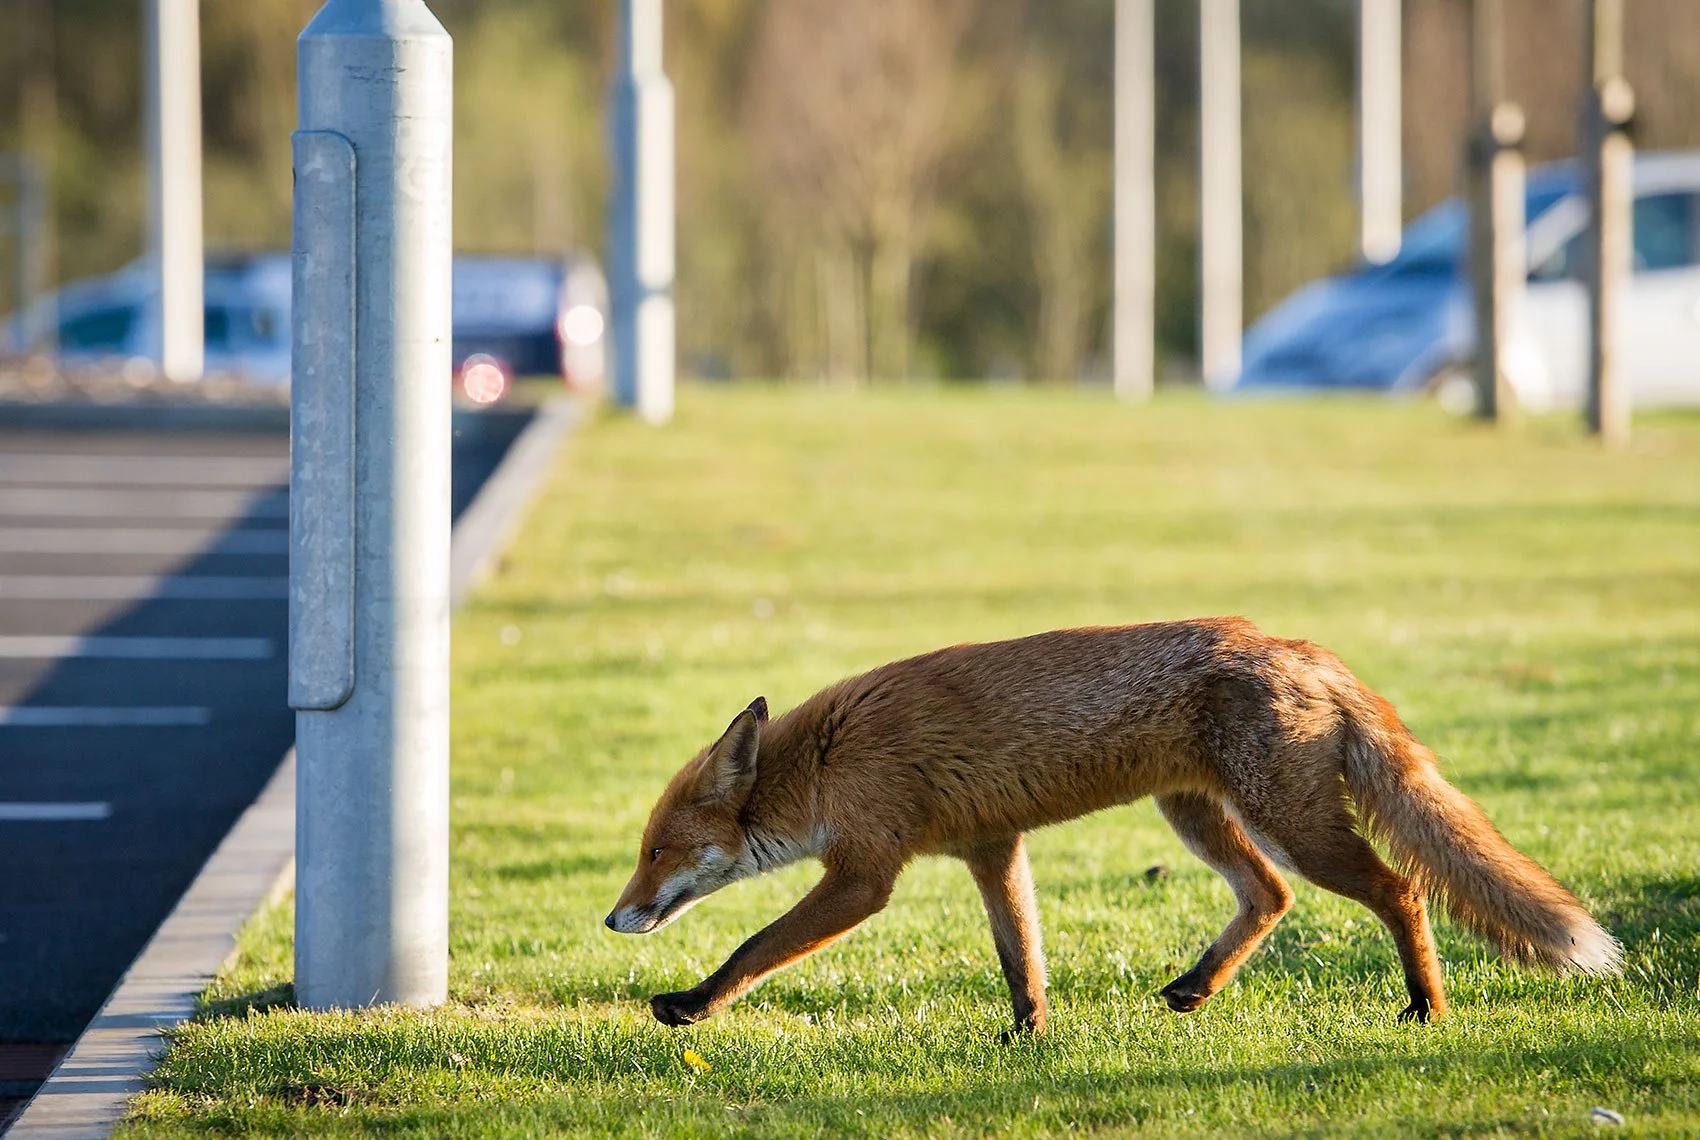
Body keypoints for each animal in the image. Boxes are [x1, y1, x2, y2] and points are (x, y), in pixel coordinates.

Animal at [605, 618, 1620, 1034]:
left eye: (656, 851)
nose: (613, 919)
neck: (824, 761)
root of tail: (1309, 650)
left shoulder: (864, 874)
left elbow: (753, 946)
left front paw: (690, 1006)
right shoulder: (991, 847)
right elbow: (1022, 958)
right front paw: (1029, 1038)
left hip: (1293, 824)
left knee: (1401, 887)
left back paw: (1426, 1007)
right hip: (1201, 818)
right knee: (1272, 897)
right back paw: (1198, 987)